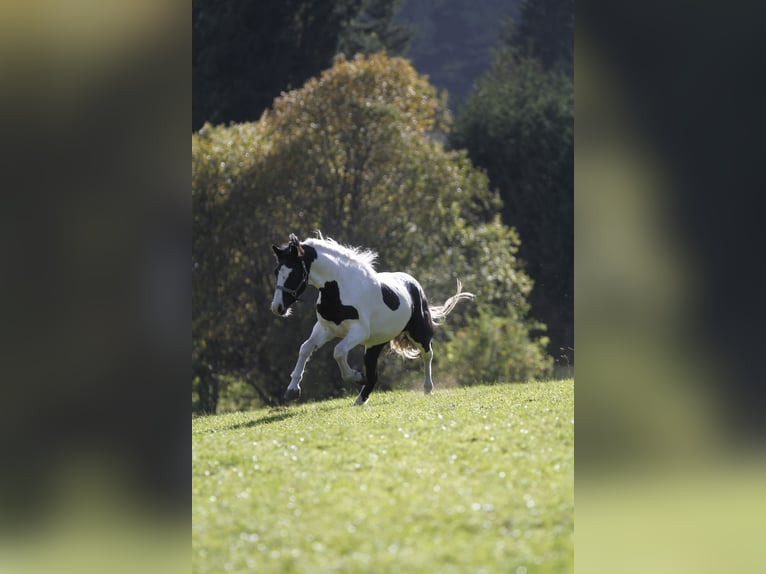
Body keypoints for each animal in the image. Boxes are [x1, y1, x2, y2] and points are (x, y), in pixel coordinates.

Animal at [270, 233, 474, 404]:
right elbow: (305, 348)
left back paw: (427, 388)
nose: (277, 308)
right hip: (374, 344)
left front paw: (356, 376)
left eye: (294, 273)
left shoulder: (358, 331)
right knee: (374, 374)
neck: (339, 288)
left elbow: (338, 351)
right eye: (276, 271)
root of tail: (413, 283)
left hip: (418, 333)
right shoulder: (325, 328)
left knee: (427, 355)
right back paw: (360, 400)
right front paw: (292, 390)